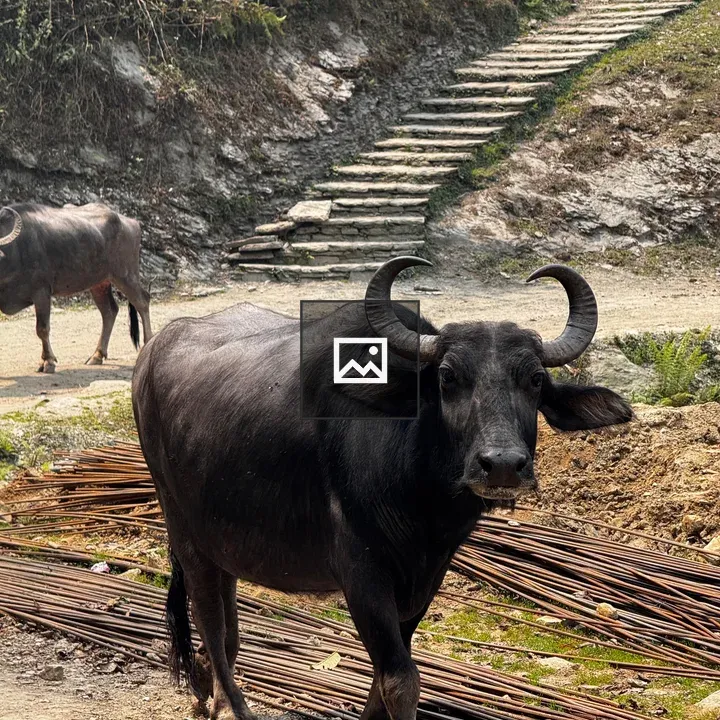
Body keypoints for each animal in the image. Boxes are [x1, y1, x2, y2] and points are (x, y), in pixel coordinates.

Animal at [0, 203, 153, 372]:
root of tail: (131, 222)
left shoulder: (42, 292)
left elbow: (42, 329)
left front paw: (48, 361)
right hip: (99, 283)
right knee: (109, 311)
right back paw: (97, 355)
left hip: (125, 276)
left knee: (142, 302)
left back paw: (148, 344)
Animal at [132, 257, 632, 720]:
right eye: (448, 377)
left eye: (534, 379)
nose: (503, 465)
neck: (422, 503)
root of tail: (150, 355)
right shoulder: (363, 573)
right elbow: (400, 680)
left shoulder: (425, 577)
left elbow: (383, 679)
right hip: (181, 526)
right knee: (209, 619)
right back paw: (230, 704)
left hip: (223, 538)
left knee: (226, 618)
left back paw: (206, 691)